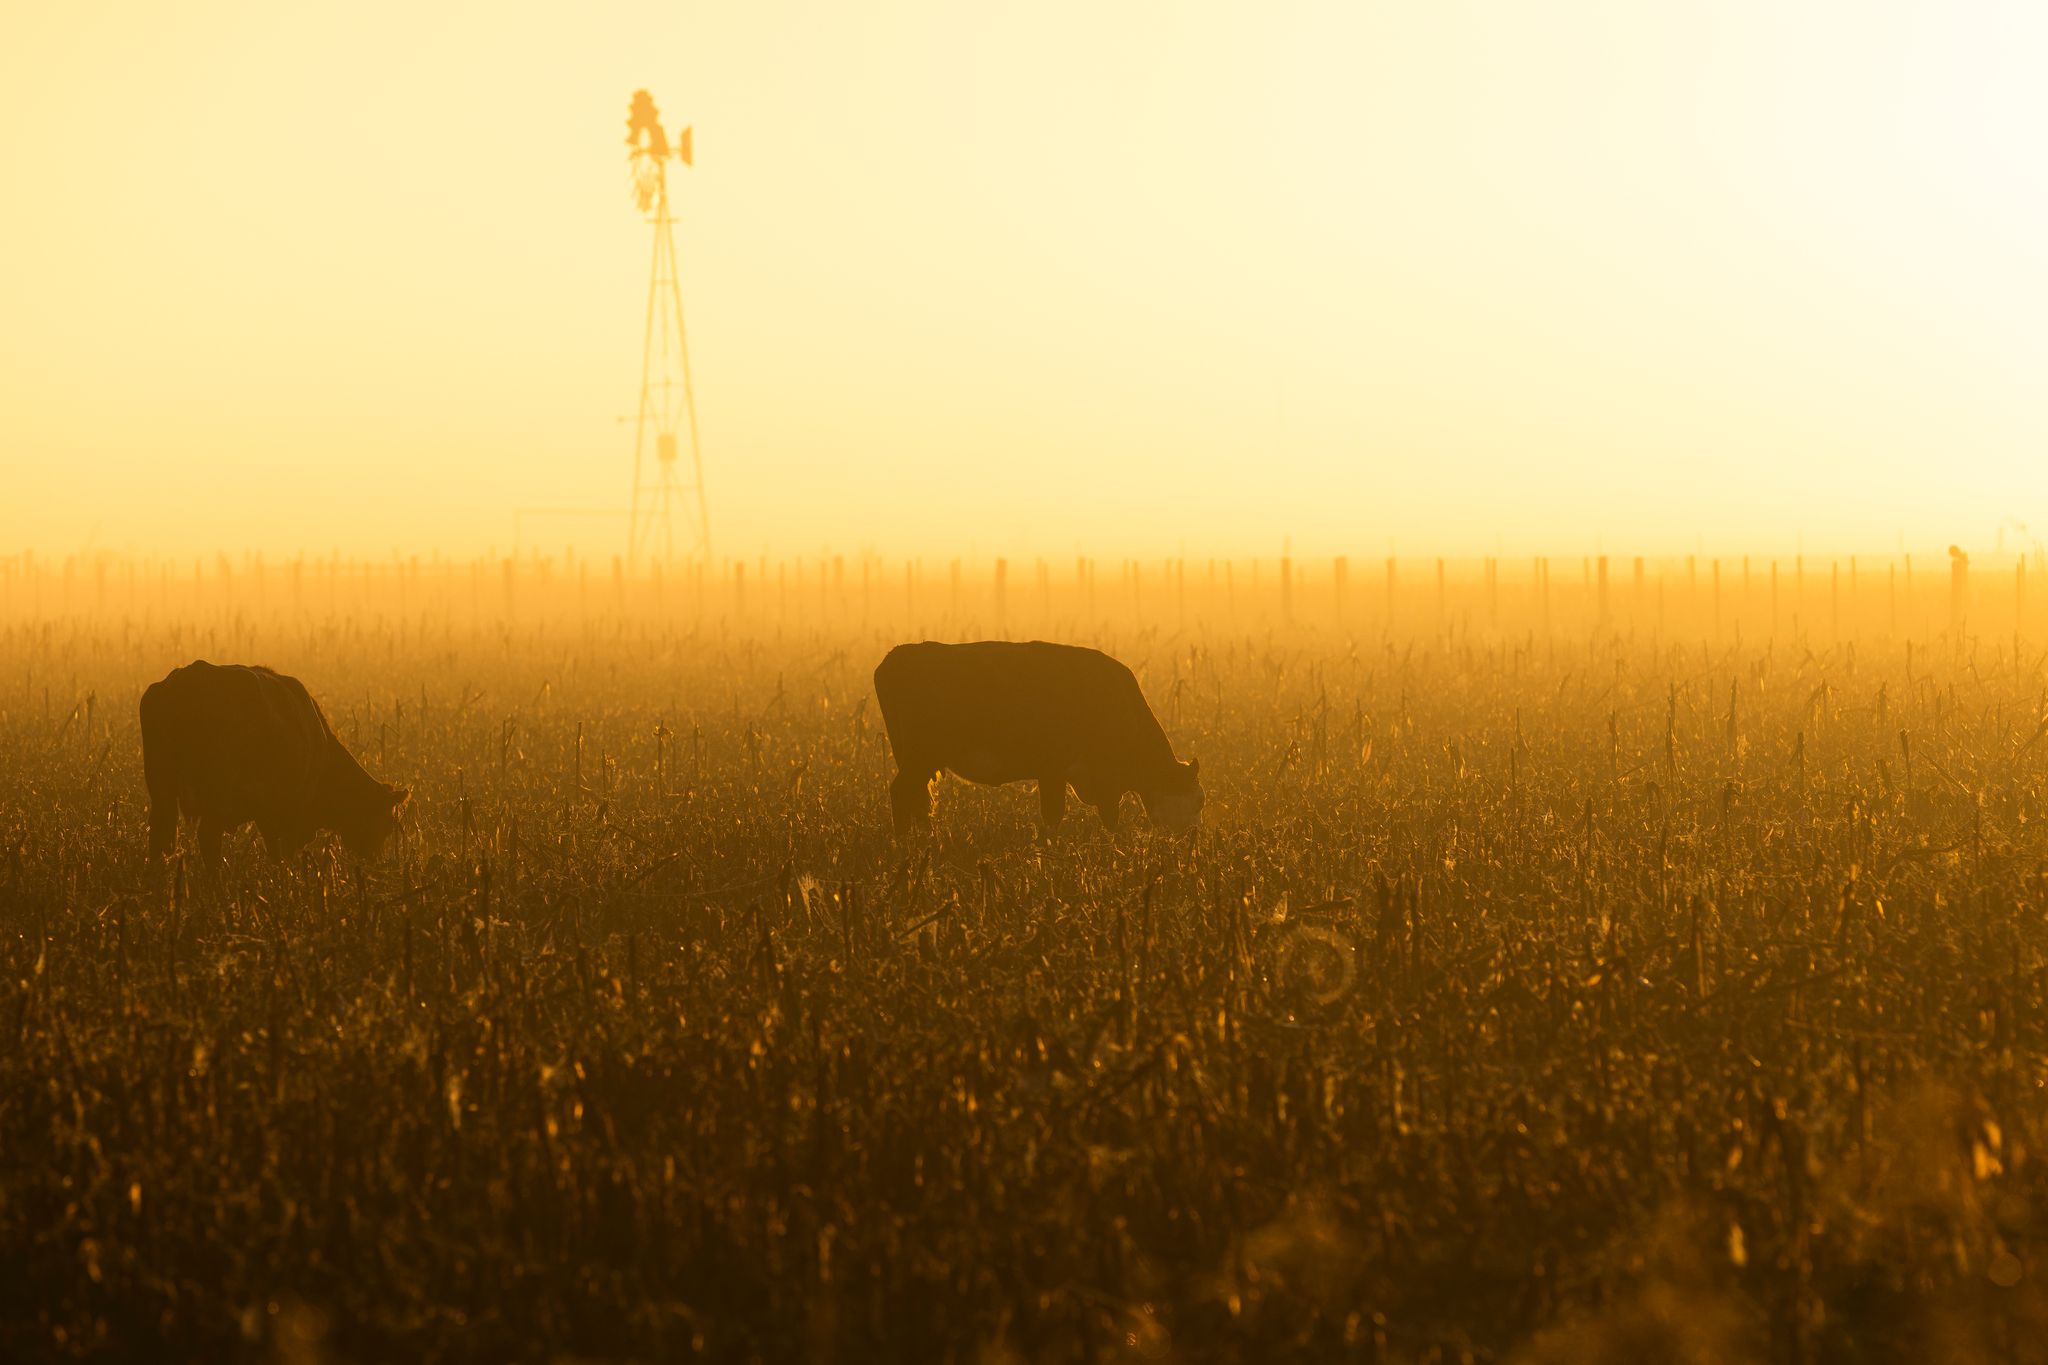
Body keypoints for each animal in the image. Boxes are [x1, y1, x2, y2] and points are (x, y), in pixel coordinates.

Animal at [140, 663, 407, 863]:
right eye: (388, 823)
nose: (374, 859)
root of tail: (188, 678)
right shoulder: (291, 810)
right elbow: (282, 850)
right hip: (216, 793)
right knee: (208, 837)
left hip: (161, 787)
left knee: (160, 834)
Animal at [868, 642, 1196, 834]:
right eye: (1197, 802)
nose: (1190, 840)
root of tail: (895, 656)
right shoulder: (1056, 770)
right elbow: (1055, 814)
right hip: (919, 756)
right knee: (902, 793)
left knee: (918, 799)